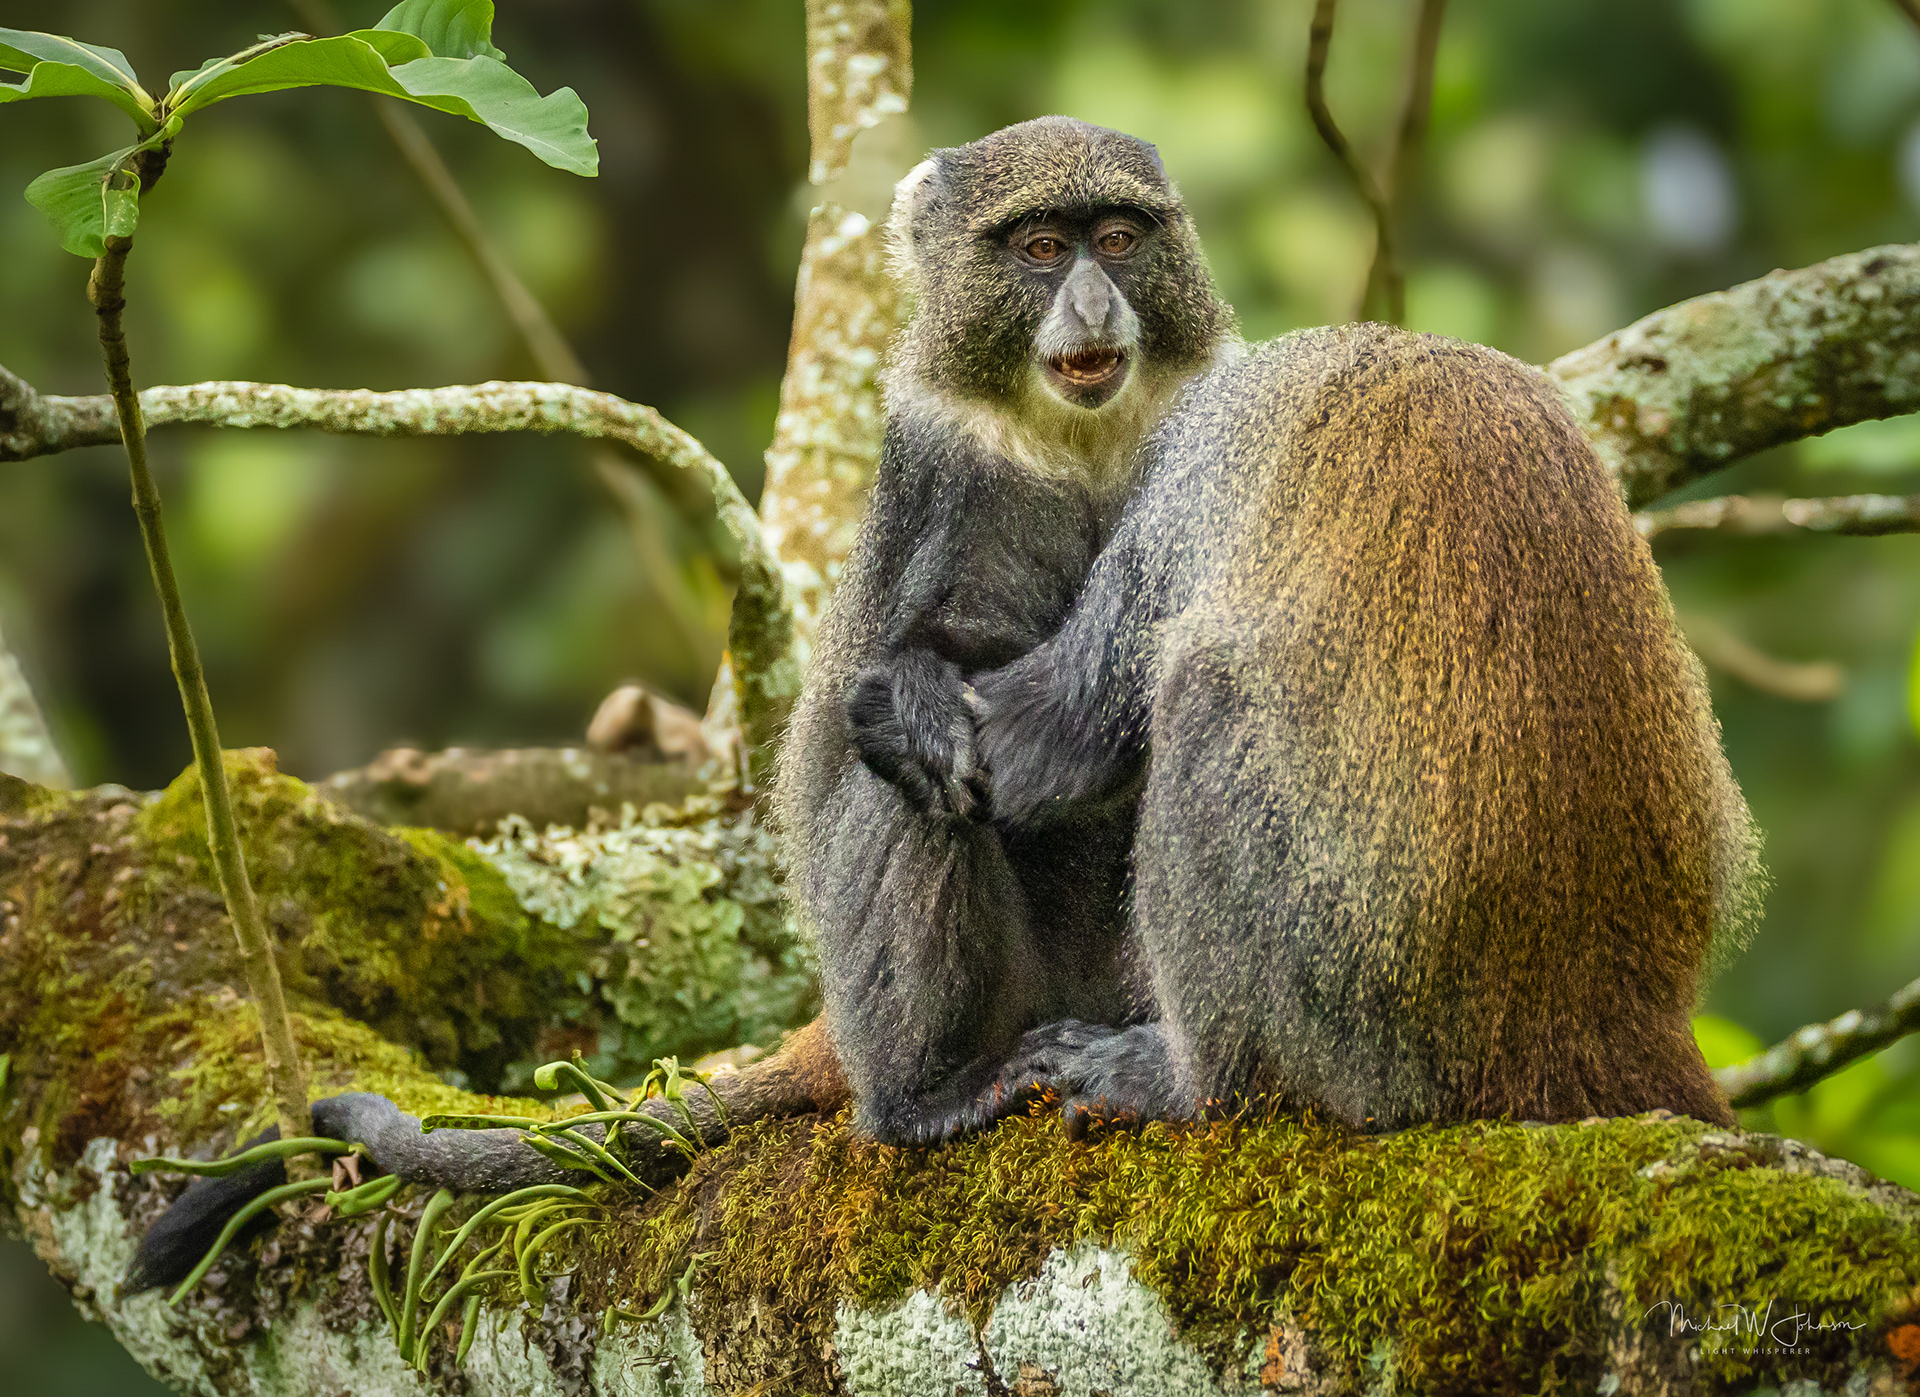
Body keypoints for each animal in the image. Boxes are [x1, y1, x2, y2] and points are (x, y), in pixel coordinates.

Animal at [128, 115, 1234, 1292]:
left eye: (1117, 241)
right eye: (1040, 250)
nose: (1094, 305)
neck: (1084, 440)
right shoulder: (950, 469)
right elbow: (932, 660)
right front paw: (928, 693)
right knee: (906, 780)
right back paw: (927, 1097)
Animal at [928, 324, 1765, 1135]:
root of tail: (1603, 1017)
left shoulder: (1193, 469)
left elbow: (1053, 736)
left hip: (1358, 1018)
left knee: (1205, 696)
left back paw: (1196, 1084)